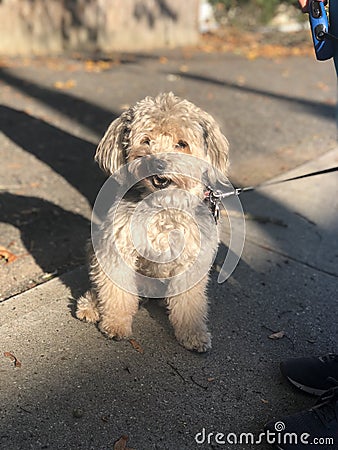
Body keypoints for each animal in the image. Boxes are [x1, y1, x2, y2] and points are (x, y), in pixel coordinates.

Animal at [76, 91, 230, 352]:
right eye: (146, 140)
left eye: (182, 143)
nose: (158, 163)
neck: (162, 205)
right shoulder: (117, 249)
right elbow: (116, 292)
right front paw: (116, 324)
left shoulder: (192, 260)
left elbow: (190, 303)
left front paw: (193, 334)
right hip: (95, 246)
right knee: (102, 285)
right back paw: (91, 306)